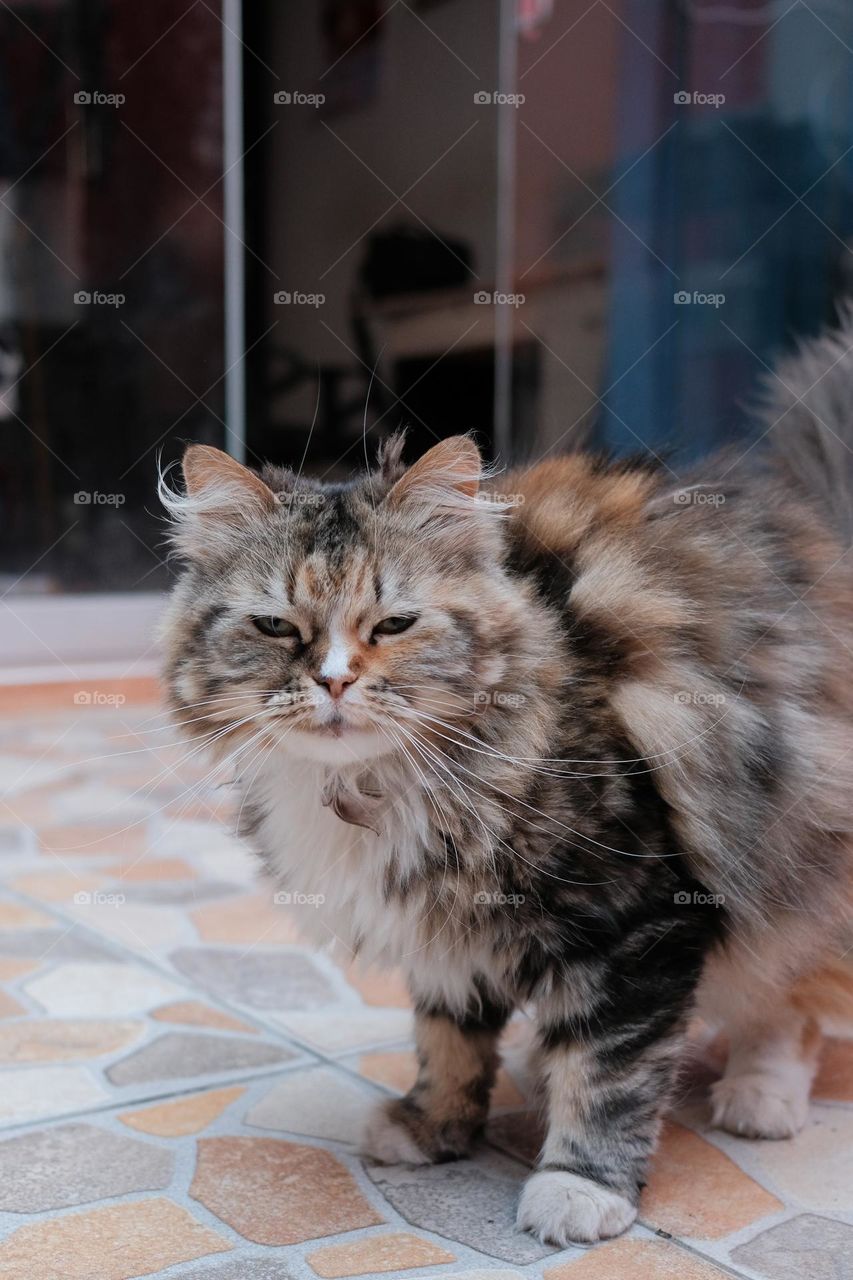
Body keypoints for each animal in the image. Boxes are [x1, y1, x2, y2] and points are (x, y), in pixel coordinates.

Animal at [161, 314, 850, 1244]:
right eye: (275, 627)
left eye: (393, 625)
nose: (334, 682)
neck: (376, 790)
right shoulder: (444, 919)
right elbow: (447, 1034)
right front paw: (432, 1126)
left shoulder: (639, 919)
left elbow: (612, 1073)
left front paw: (579, 1187)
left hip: (788, 846)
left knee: (792, 993)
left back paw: (759, 1096)